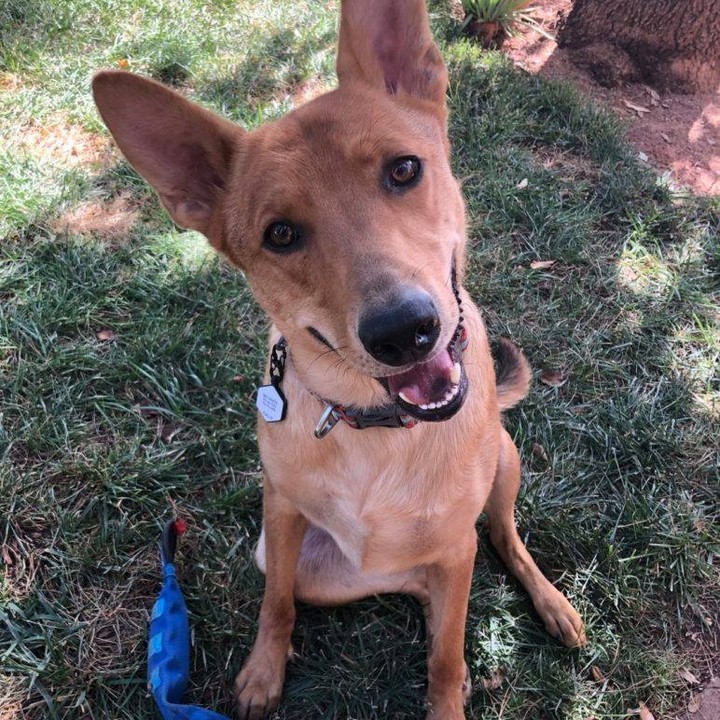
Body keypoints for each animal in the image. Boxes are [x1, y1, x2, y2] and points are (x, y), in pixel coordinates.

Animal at [93, 1, 584, 720]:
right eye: (280, 234)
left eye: (404, 170)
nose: (404, 331)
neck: (376, 429)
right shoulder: (280, 515)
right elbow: (276, 604)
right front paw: (263, 672)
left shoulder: (455, 542)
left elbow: (445, 652)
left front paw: (448, 692)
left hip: (504, 459)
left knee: (501, 538)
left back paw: (546, 601)